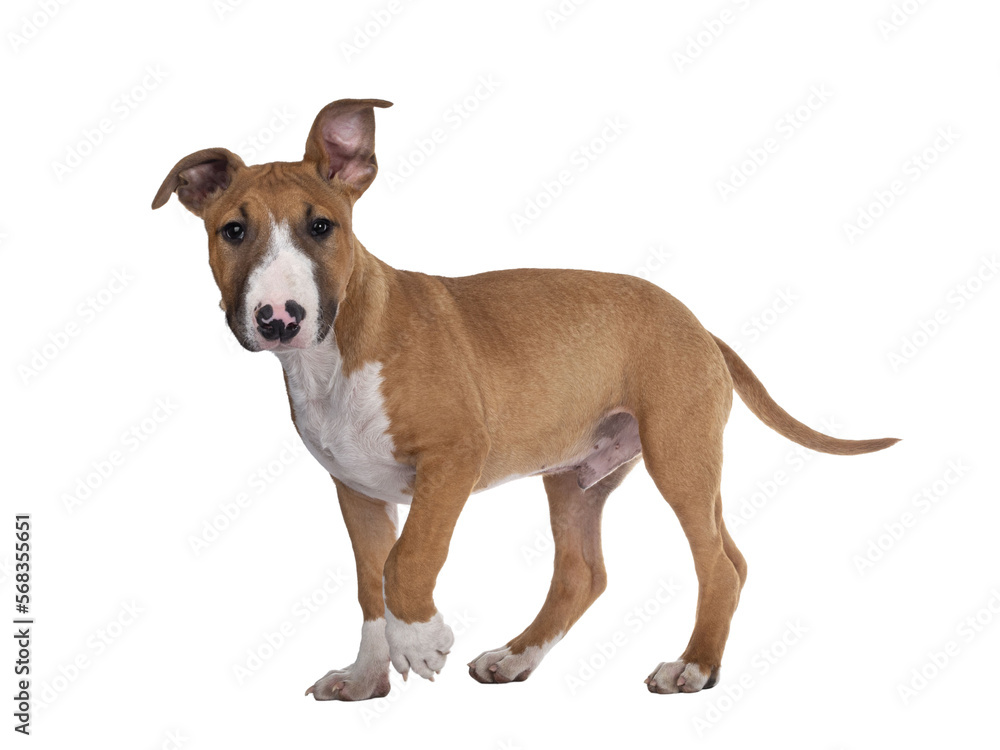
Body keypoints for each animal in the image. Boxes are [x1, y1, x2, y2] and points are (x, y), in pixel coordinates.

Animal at [150, 98, 900, 700]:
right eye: (232, 231)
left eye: (322, 227)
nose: (280, 318)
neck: (338, 348)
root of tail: (698, 324)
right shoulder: (355, 490)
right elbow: (369, 583)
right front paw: (365, 678)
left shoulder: (453, 458)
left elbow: (406, 561)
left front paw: (421, 641)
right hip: (576, 475)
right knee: (584, 573)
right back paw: (516, 658)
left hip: (679, 452)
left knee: (720, 564)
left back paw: (692, 667)